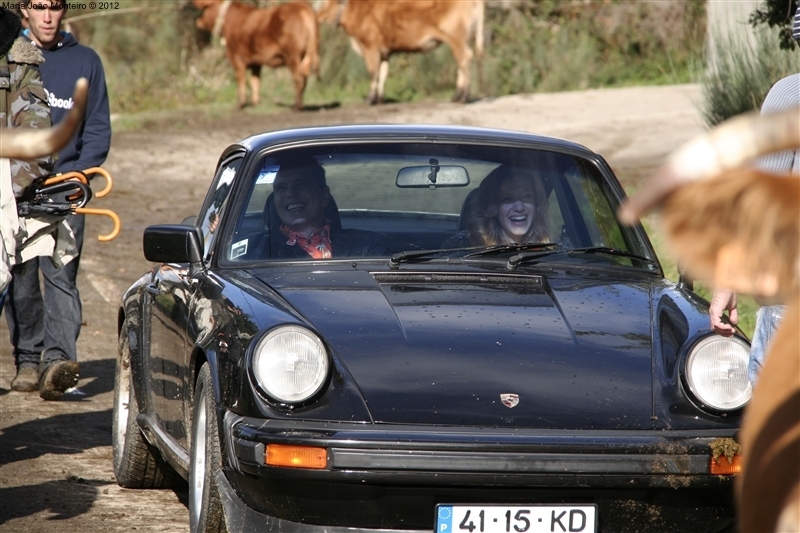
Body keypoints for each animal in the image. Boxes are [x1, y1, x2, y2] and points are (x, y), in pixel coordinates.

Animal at [317, 0, 484, 105]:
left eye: (326, 2)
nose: (319, 16)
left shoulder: (371, 48)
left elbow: (373, 73)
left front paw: (370, 99)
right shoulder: (384, 52)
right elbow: (383, 74)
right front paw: (379, 99)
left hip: (456, 38)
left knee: (465, 59)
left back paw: (464, 97)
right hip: (466, 39)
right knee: (461, 64)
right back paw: (457, 96)